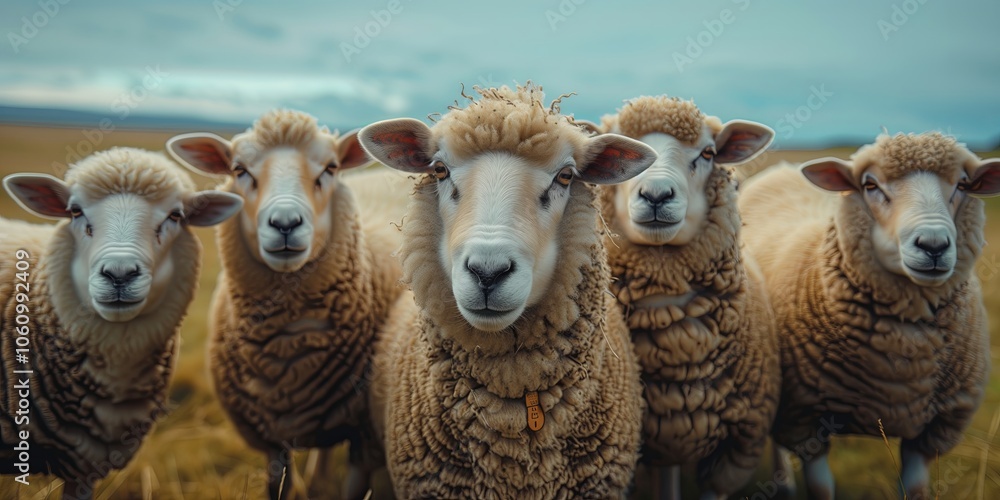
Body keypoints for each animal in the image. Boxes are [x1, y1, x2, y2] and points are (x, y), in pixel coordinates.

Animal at [166, 109, 410, 500]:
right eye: (239, 170)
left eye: (330, 167)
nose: (285, 223)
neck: (288, 348)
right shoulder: (269, 439)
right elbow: (277, 485)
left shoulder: (365, 440)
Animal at [738, 132, 1000, 499]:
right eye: (870, 184)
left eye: (963, 184)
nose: (933, 245)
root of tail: (785, 167)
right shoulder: (805, 419)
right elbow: (820, 488)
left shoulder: (930, 433)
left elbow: (914, 489)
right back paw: (782, 483)